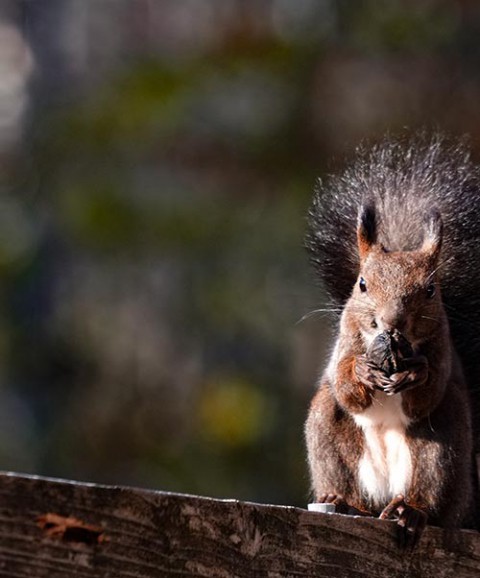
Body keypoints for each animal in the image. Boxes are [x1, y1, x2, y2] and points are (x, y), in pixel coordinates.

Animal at [304, 134, 480, 544]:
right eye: (362, 284)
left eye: (431, 290)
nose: (391, 323)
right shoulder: (344, 344)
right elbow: (345, 386)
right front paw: (362, 372)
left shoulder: (442, 350)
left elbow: (425, 394)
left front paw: (415, 373)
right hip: (327, 429)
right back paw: (344, 503)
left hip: (443, 444)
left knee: (429, 492)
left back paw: (409, 511)